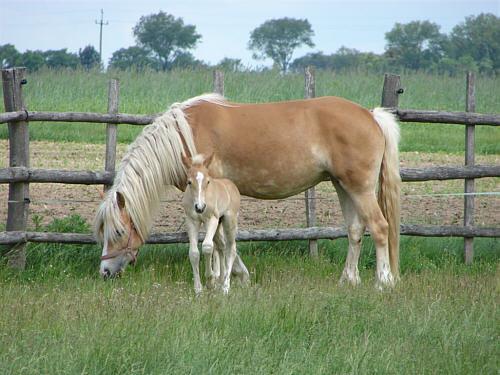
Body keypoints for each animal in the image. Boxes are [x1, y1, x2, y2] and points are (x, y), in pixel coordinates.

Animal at [183, 153, 245, 294]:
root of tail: (232, 185)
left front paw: (210, 281)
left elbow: (207, 246)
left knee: (230, 249)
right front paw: (198, 290)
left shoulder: (212, 219)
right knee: (221, 247)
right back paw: (221, 280)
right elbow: (194, 253)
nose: (200, 208)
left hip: (229, 221)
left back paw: (225, 287)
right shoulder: (192, 221)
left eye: (208, 181)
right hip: (219, 226)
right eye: (189, 182)